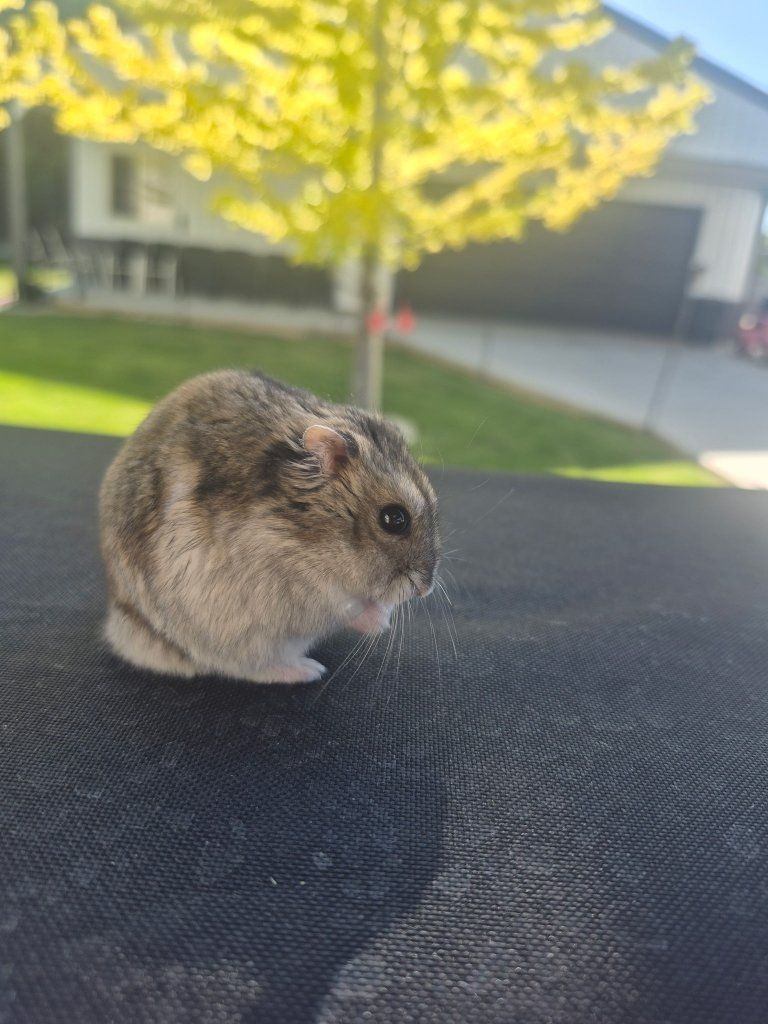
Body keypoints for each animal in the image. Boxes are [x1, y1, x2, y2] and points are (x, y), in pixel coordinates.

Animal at [99, 370, 440, 684]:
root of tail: (121, 626)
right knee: (247, 667)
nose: (425, 589)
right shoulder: (302, 589)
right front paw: (381, 622)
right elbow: (348, 605)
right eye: (394, 519)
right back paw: (309, 671)